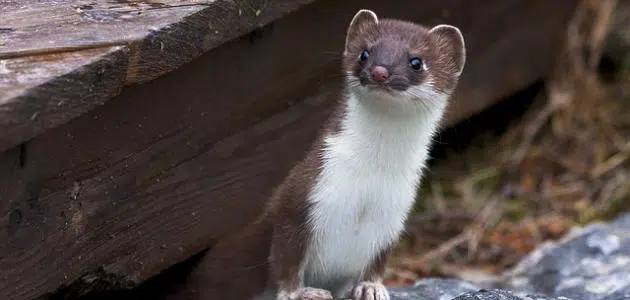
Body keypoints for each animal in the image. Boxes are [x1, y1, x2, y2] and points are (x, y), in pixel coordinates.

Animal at [164, 8, 470, 300]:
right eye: (365, 52)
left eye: (416, 61)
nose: (380, 71)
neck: (369, 184)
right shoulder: (302, 197)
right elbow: (284, 258)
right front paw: (300, 292)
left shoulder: (393, 217)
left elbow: (376, 263)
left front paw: (371, 288)